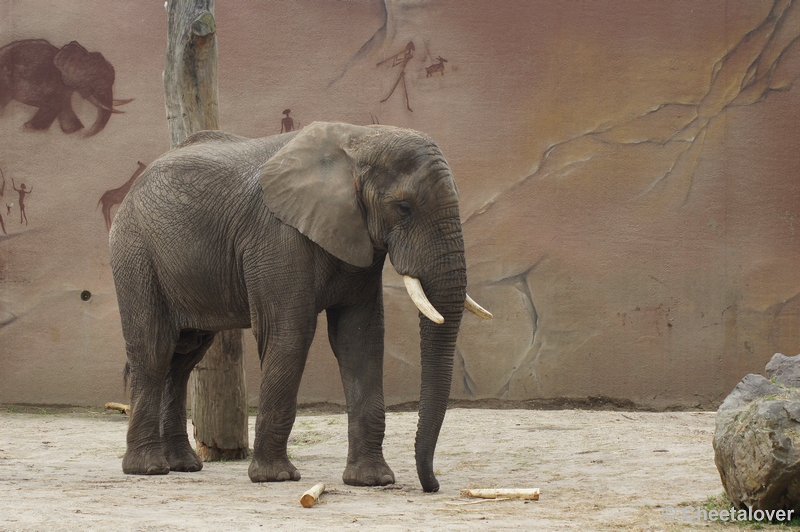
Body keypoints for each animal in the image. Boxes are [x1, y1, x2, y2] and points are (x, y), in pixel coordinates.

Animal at [0, 40, 131, 138]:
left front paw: (74, 131)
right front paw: (30, 128)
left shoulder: (65, 89)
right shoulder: (56, 83)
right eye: (96, 80)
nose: (85, 136)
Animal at [109, 121, 490, 494]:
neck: (362, 138)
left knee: (183, 358)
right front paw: (275, 477)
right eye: (404, 208)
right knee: (154, 349)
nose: (432, 486)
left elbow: (360, 339)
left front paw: (372, 480)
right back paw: (148, 469)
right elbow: (290, 333)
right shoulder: (276, 236)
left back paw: (183, 465)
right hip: (135, 252)